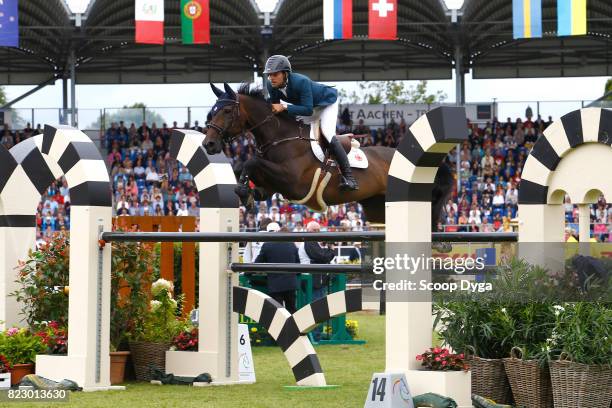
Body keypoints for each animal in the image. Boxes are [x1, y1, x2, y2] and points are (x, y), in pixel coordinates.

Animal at [202, 80, 454, 226]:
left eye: (226, 111)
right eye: (211, 112)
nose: (209, 145)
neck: (282, 137)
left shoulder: (292, 181)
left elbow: (251, 162)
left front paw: (244, 192)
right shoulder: (273, 186)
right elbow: (242, 168)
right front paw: (246, 192)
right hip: (375, 206)